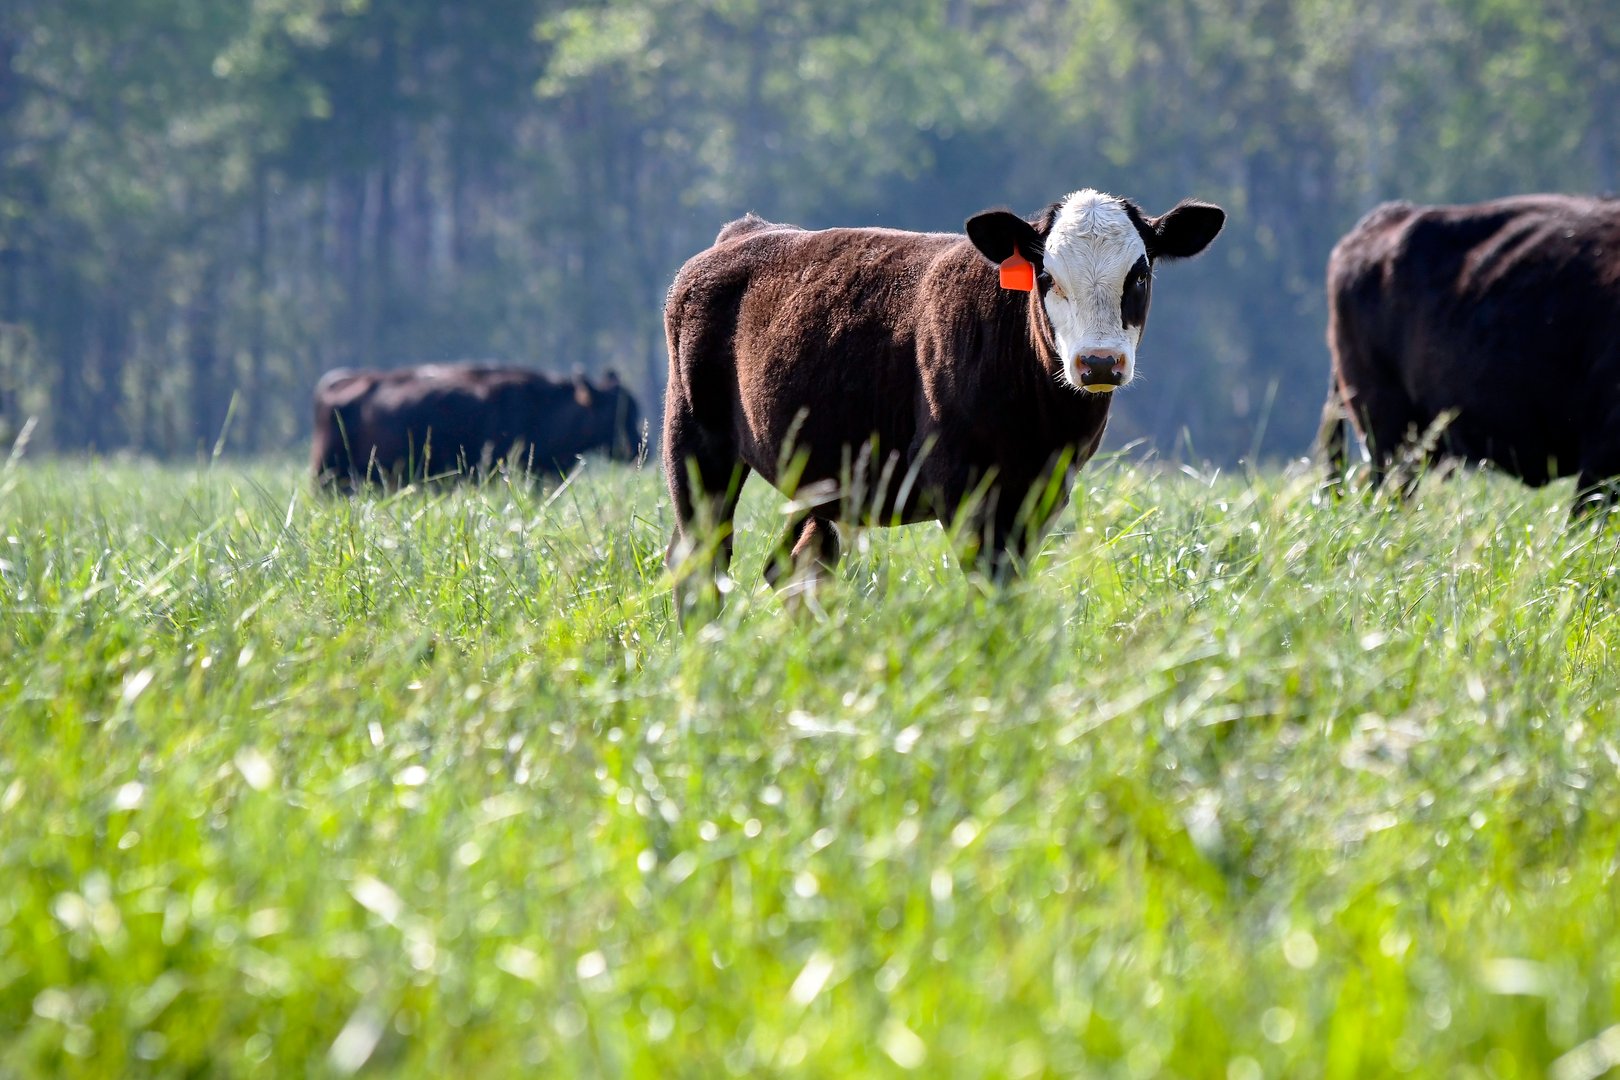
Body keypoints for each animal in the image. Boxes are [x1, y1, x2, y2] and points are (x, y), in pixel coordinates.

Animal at [661, 189, 1225, 605]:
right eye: (1046, 276)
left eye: (1140, 274)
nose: (1100, 362)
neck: (1040, 423)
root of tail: (747, 231)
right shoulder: (959, 481)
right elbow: (987, 583)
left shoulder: (1044, 490)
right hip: (695, 442)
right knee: (700, 560)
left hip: (815, 469)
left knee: (797, 562)